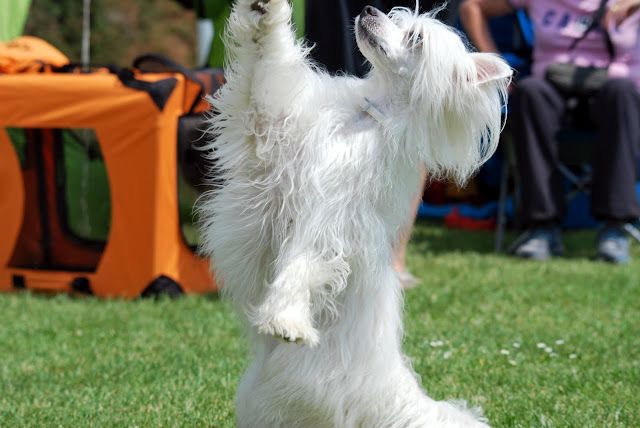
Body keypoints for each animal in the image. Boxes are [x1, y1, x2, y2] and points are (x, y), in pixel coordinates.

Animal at [198, 1, 512, 426]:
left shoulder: (333, 222)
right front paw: (264, 12)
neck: (362, 117)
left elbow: (302, 266)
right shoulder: (267, 133)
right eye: (395, 18)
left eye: (416, 37)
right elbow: (262, 66)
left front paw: (285, 318)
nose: (368, 10)